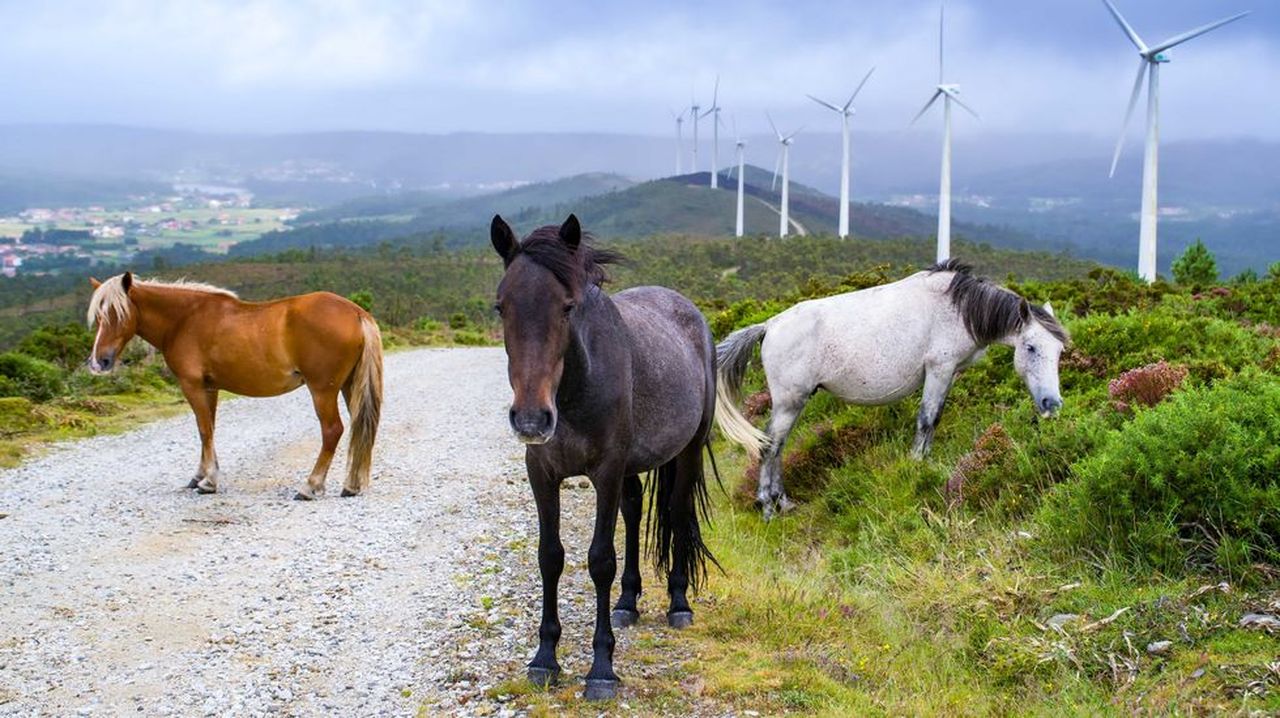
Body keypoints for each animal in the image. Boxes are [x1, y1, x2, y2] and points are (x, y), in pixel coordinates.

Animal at [88, 271, 381, 501]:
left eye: (117, 313)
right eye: (99, 317)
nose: (100, 361)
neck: (184, 319)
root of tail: (356, 313)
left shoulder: (192, 386)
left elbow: (204, 430)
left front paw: (209, 482)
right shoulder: (210, 388)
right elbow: (208, 429)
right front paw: (199, 476)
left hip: (322, 390)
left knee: (333, 430)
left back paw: (310, 487)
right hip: (348, 386)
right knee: (359, 428)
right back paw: (351, 486)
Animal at [491, 212, 721, 701]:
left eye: (567, 307)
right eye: (501, 307)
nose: (532, 419)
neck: (576, 388)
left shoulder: (606, 472)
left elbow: (599, 560)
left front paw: (601, 669)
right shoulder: (542, 473)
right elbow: (550, 556)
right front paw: (544, 659)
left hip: (687, 451)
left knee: (676, 514)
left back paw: (678, 604)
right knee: (634, 513)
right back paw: (627, 602)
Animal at [716, 259, 1064, 517]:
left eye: (1060, 351)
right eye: (1031, 347)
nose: (1052, 404)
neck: (959, 309)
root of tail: (769, 326)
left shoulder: (949, 374)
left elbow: (934, 419)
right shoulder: (939, 369)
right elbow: (927, 419)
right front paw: (917, 464)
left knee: (777, 445)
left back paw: (783, 503)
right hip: (790, 402)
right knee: (770, 445)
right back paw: (768, 507)